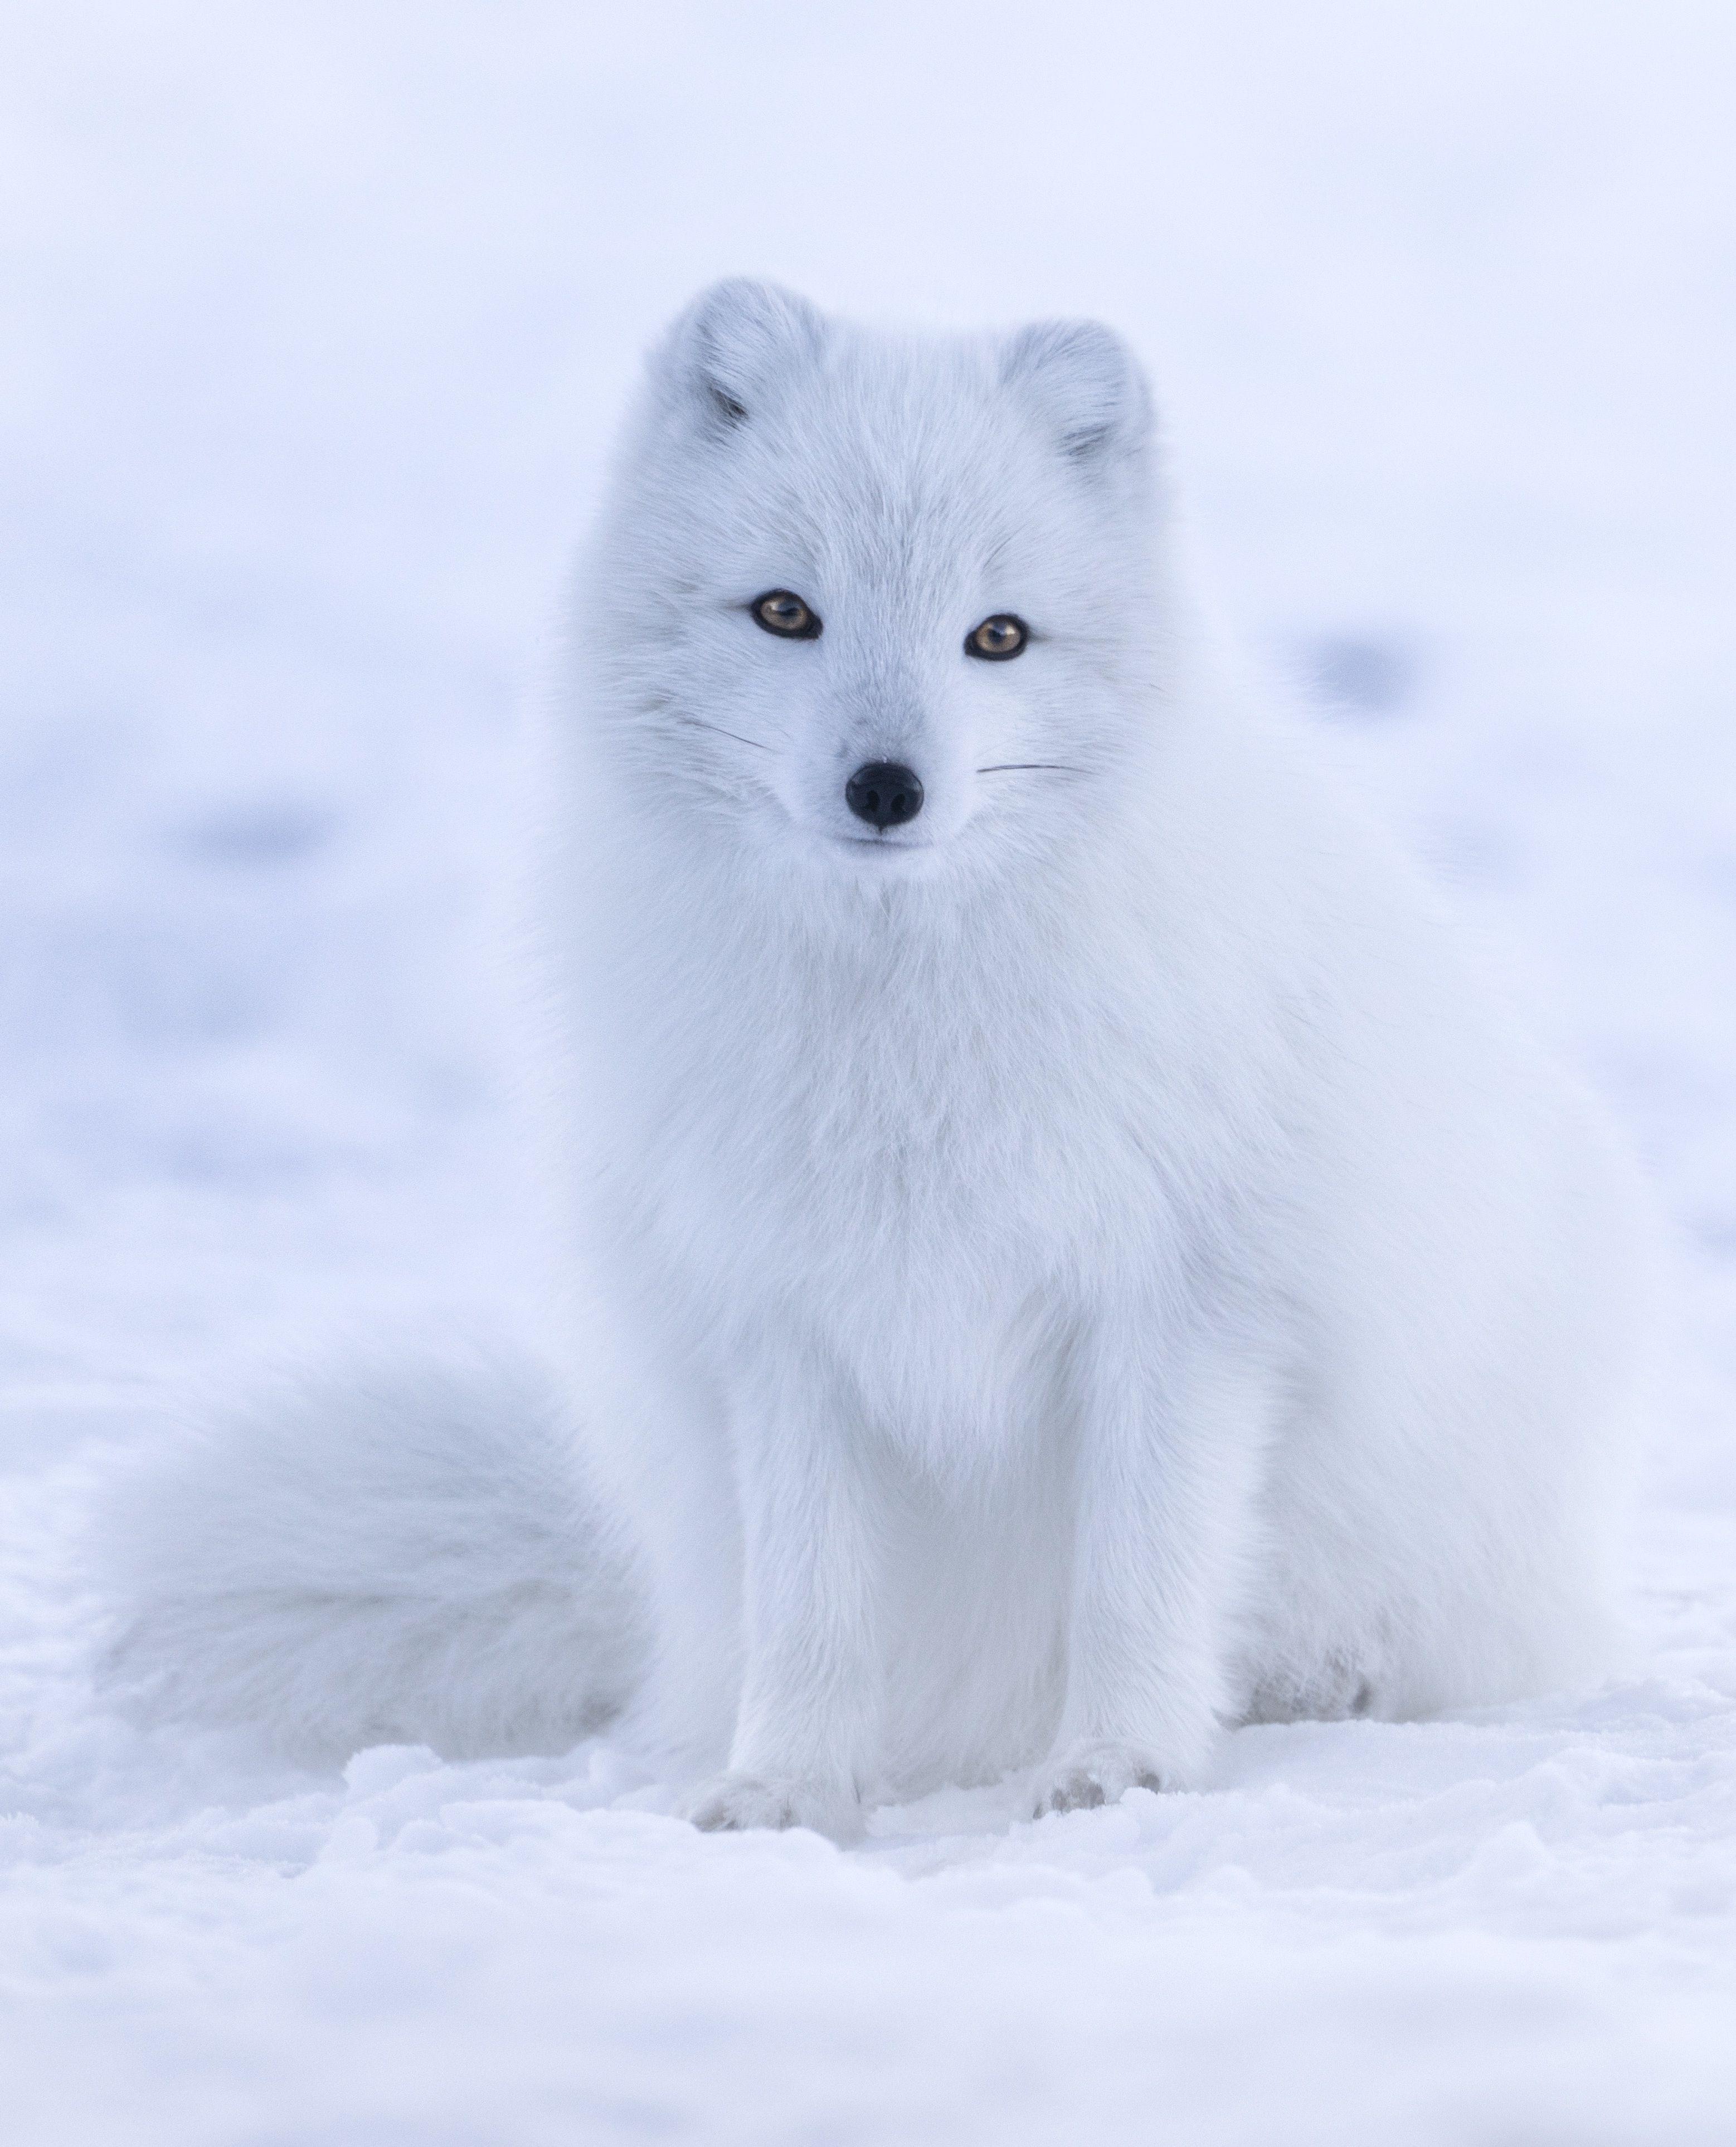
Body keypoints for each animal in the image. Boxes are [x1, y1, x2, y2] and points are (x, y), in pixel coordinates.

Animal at [100, 281, 1652, 1838]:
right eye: (788, 612)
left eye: (999, 637)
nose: (887, 788)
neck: (902, 1026)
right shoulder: (782, 1320)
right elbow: (813, 1607)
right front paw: (785, 1788)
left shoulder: (1186, 1308)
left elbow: (1139, 1578)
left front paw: (1120, 1766)